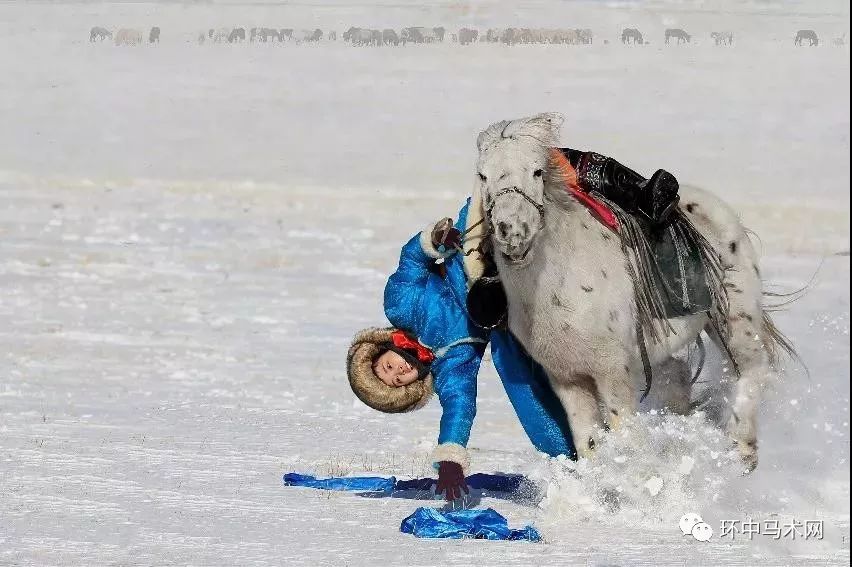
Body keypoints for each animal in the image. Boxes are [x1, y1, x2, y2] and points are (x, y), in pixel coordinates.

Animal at [466, 113, 792, 472]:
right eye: (483, 175)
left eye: (537, 171)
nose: (512, 232)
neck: (559, 283)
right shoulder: (568, 378)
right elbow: (589, 442)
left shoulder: (613, 372)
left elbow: (626, 438)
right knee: (679, 379)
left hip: (734, 321)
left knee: (751, 373)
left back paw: (741, 453)